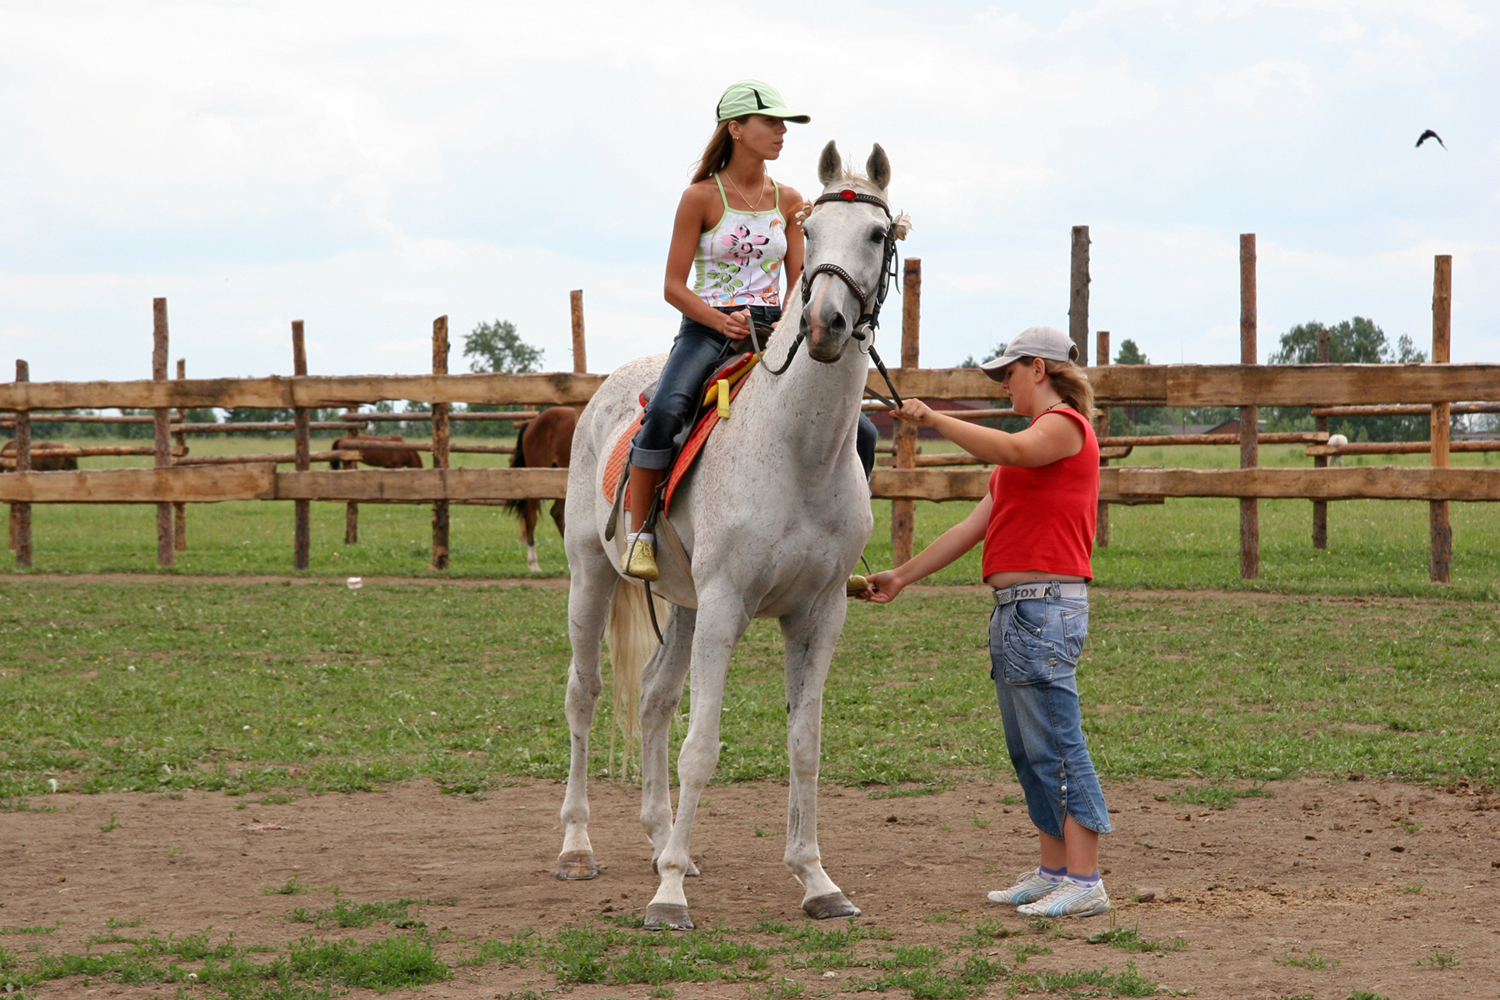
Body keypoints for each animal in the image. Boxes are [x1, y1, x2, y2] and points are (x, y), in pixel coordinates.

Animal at [555, 140, 894, 929]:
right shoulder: (725, 606)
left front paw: (816, 881)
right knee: (585, 695)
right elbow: (701, 747)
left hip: (680, 605)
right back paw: (579, 847)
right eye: (813, 232)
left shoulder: (819, 613)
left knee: (653, 698)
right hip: (594, 578)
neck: (797, 452)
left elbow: (805, 745)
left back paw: (658, 842)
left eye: (876, 234)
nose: (826, 325)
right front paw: (669, 897)